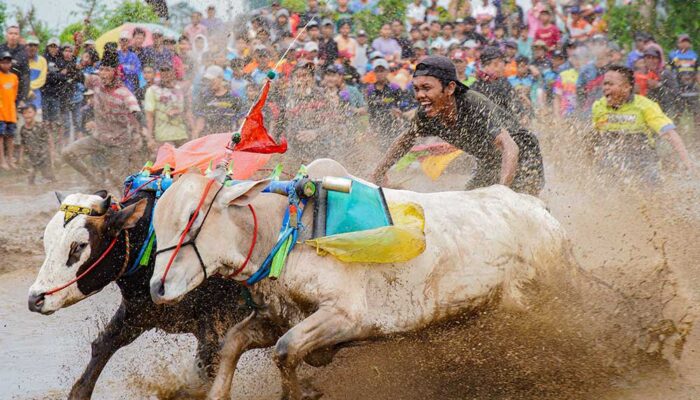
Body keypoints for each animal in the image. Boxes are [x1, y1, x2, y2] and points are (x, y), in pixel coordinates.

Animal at [148, 160, 576, 400]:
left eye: (192, 218)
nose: (156, 288)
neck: (288, 231)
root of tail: (540, 210)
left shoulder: (345, 315)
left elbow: (286, 352)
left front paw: (302, 392)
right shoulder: (274, 317)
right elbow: (232, 345)